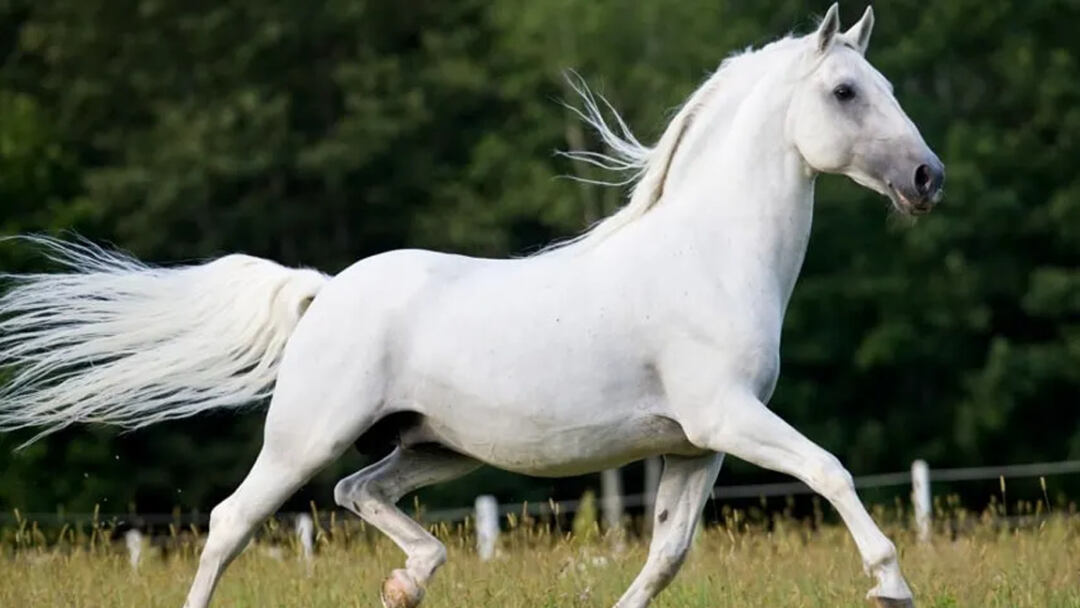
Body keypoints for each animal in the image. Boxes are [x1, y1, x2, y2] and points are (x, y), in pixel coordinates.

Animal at [0, 5, 941, 608]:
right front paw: (892, 587)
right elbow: (831, 471)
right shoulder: (730, 418)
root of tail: (324, 289)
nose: (928, 178)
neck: (709, 260)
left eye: (887, 85)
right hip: (308, 434)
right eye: (847, 92)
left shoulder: (694, 445)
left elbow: (667, 554)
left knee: (357, 493)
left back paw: (408, 581)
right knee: (232, 521)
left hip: (433, 447)